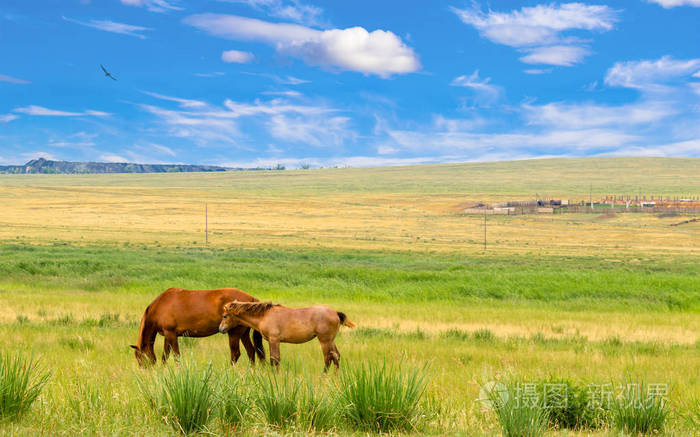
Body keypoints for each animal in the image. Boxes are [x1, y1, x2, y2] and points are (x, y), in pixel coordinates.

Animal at [129, 286, 266, 364]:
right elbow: (165, 356)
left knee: (235, 354)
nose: (146, 373)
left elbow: (176, 356)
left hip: (234, 333)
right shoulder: (167, 336)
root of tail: (251, 299)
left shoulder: (171, 334)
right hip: (243, 333)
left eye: (140, 359)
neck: (160, 305)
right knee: (251, 352)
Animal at [217, 302, 356, 370]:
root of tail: (335, 313)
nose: (220, 329)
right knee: (336, 356)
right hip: (331, 340)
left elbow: (275, 359)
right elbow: (275, 360)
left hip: (324, 341)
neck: (265, 315)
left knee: (328, 358)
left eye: (225, 316)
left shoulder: (274, 340)